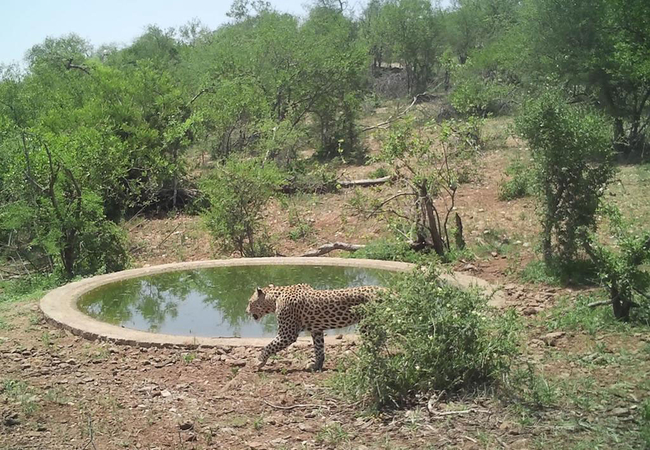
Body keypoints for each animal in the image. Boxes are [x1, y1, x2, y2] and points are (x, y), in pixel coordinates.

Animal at [246, 284, 382, 370]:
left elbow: (269, 346)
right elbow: (318, 347)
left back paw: (367, 361)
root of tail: (384, 290)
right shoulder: (316, 330)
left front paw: (259, 361)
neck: (275, 299)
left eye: (249, 302)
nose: (246, 311)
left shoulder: (287, 334)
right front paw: (317, 365)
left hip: (367, 325)